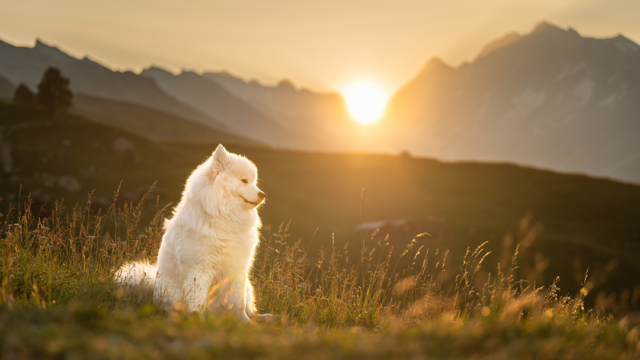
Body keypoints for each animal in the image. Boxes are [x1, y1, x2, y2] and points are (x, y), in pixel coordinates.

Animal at [116, 145, 264, 322]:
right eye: (244, 181)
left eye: (254, 182)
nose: (262, 194)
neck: (224, 217)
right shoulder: (200, 269)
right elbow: (197, 300)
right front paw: (197, 320)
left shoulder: (237, 268)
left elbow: (237, 302)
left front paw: (243, 322)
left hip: (248, 286)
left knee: (250, 308)